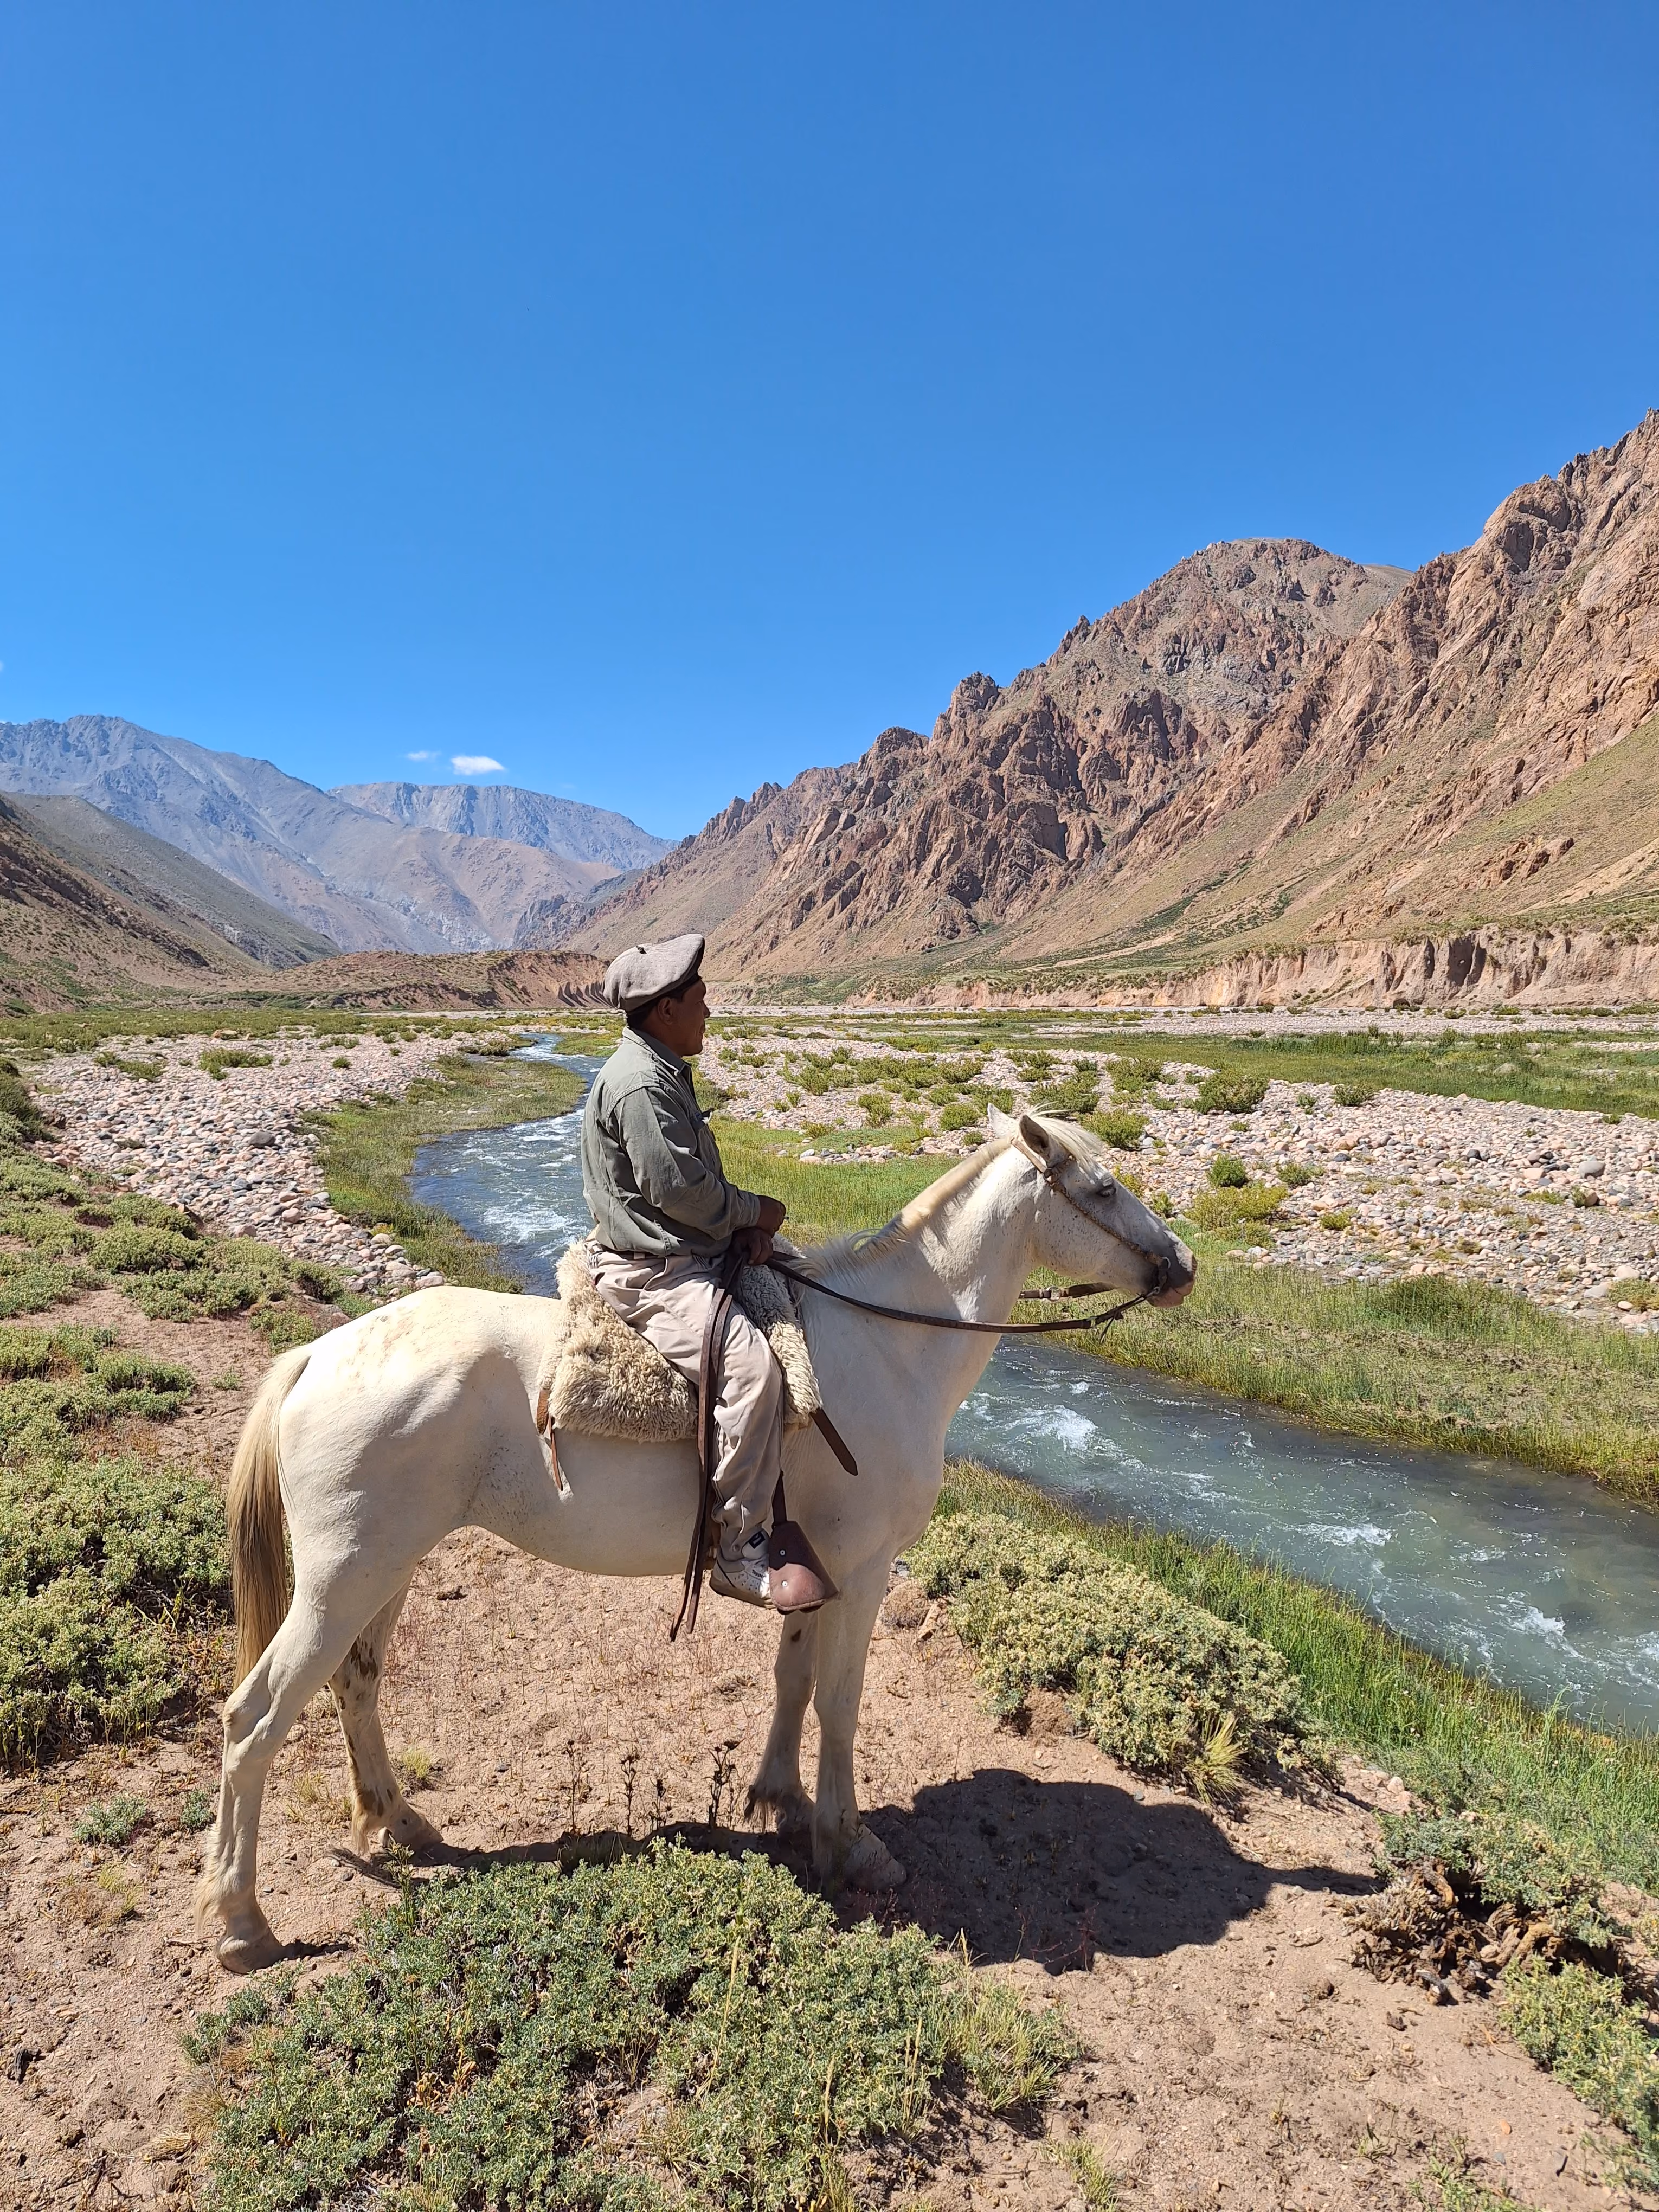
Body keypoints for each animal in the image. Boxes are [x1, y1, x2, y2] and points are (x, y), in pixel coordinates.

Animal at [198, 1108, 1195, 1973]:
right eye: (1102, 1187)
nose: (1181, 1265)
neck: (887, 1350)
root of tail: (316, 1357)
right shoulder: (867, 1569)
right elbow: (842, 1704)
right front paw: (850, 1845)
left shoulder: (813, 1569)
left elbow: (794, 1681)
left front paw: (779, 1800)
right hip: (343, 1577)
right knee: (255, 1719)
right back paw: (242, 1924)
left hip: (389, 1568)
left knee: (355, 1685)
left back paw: (402, 1826)